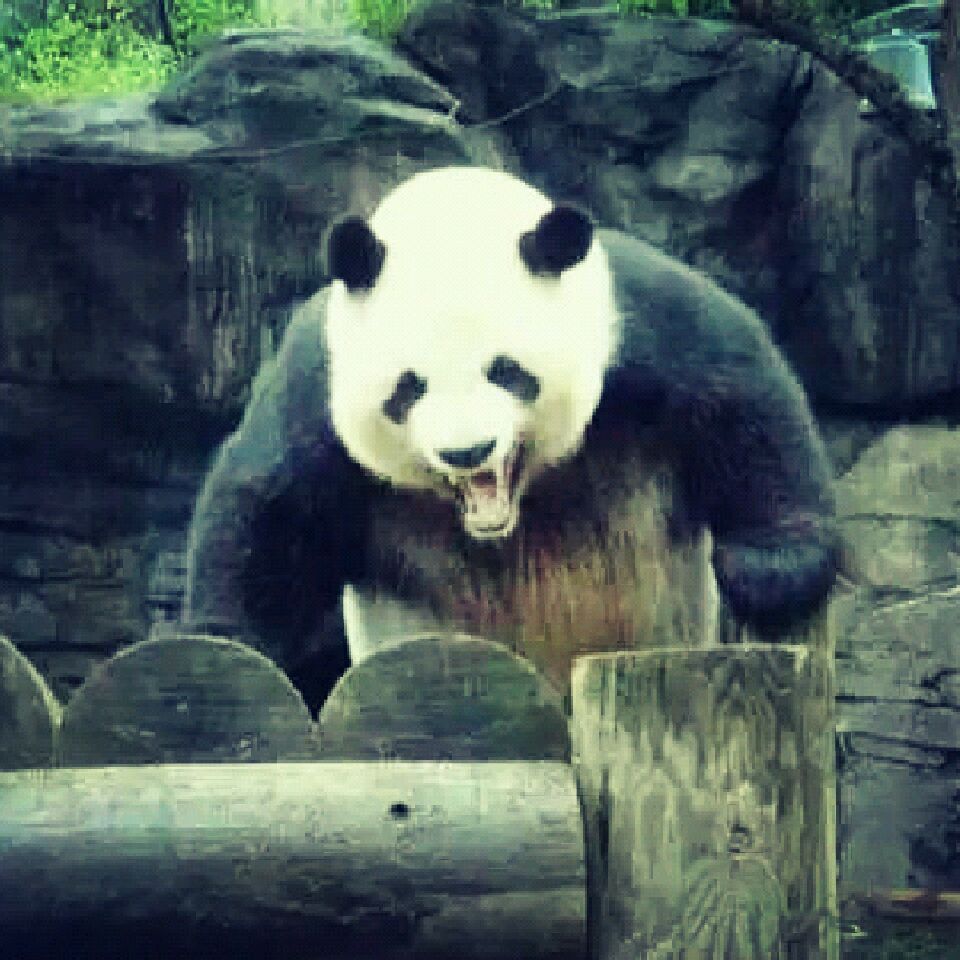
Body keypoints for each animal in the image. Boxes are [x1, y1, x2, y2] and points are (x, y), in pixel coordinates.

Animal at [183, 166, 838, 711]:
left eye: (506, 371)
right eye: (408, 387)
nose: (467, 452)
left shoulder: (630, 323)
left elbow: (740, 393)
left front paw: (771, 571)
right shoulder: (318, 381)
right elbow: (269, 506)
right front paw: (224, 650)